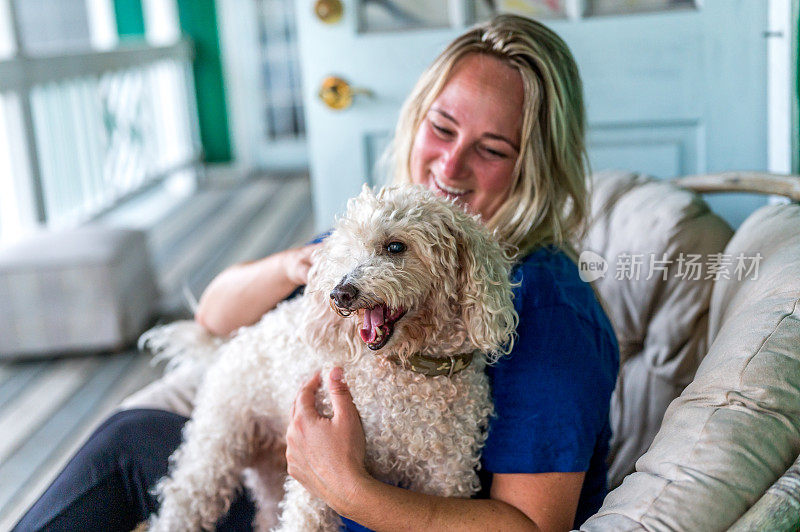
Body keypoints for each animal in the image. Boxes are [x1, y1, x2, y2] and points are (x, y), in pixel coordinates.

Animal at [144, 185, 520, 528]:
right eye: (346, 251)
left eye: (395, 246)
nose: (340, 293)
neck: (411, 371)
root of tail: (229, 344)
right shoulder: (316, 479)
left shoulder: (447, 474)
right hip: (216, 444)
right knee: (183, 501)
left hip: (269, 465)